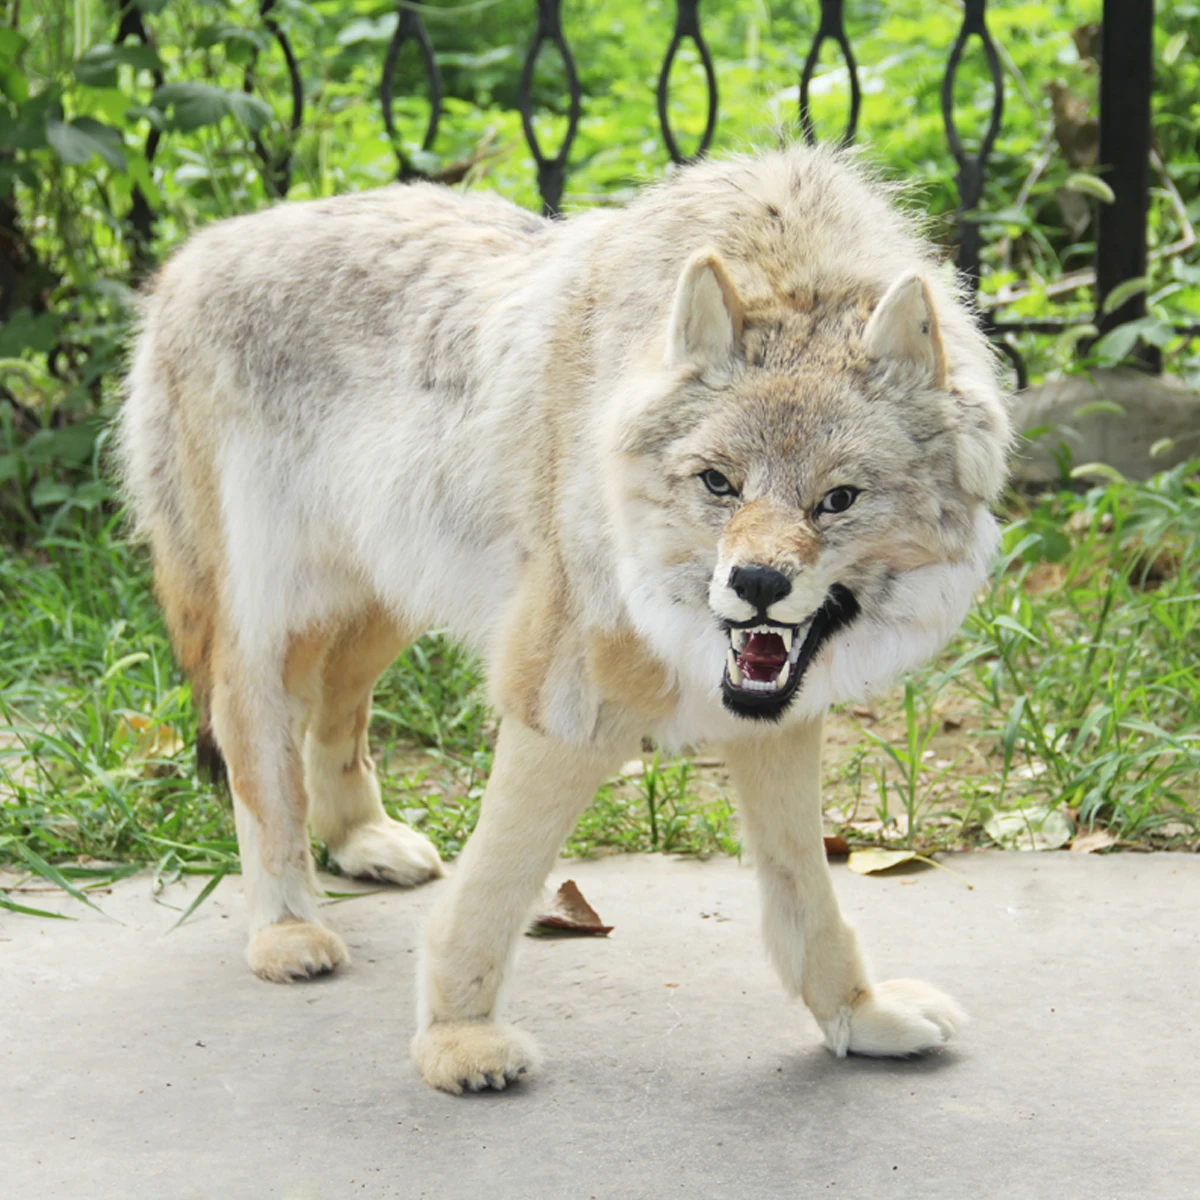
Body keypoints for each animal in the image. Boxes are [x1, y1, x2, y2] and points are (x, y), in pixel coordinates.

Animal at [118, 144, 1009, 1094]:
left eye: (837, 500)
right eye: (718, 483)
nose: (758, 583)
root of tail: (188, 258)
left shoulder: (773, 716)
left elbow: (807, 893)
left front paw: (857, 1018)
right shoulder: (560, 697)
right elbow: (495, 888)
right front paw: (459, 1041)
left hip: (384, 602)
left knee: (337, 711)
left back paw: (361, 842)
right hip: (280, 619)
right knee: (249, 732)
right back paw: (286, 927)